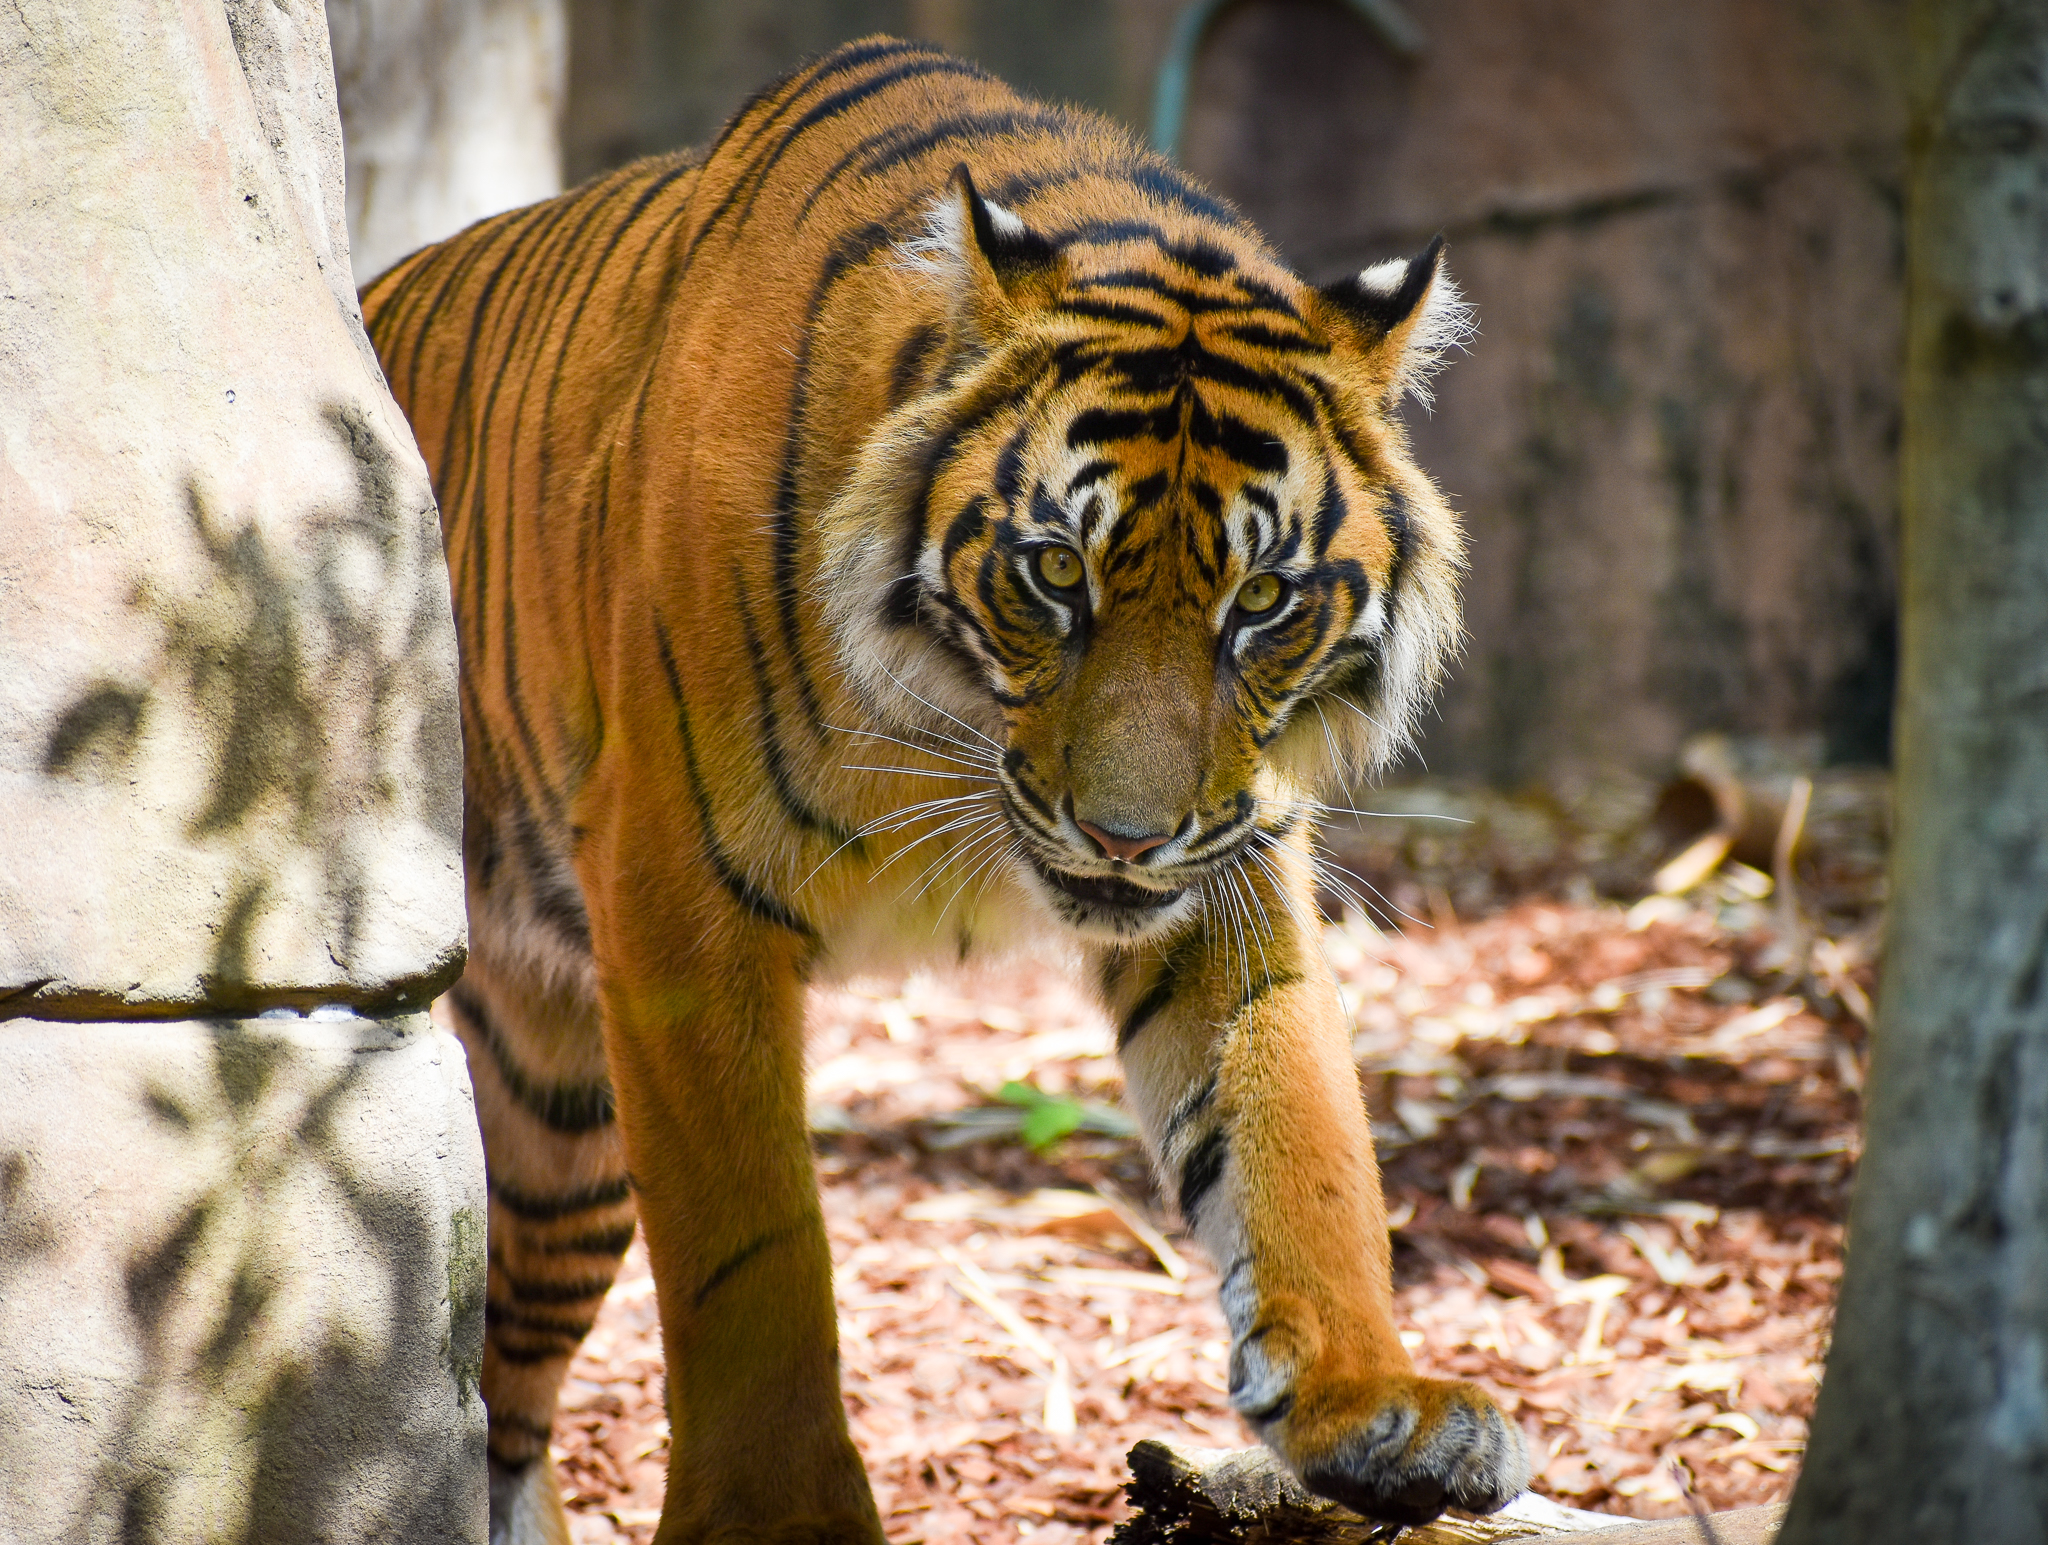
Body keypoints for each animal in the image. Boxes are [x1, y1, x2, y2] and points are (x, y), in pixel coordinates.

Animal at [360, 34, 1529, 1545]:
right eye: (1054, 573)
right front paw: (780, 1515)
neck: (949, 730)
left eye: (1262, 602)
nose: (1124, 835)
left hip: (559, 1129)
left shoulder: (1228, 871)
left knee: (499, 1385)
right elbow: (755, 1250)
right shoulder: (680, 895)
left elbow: (1297, 1128)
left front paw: (1371, 1404)